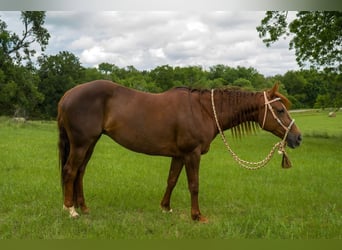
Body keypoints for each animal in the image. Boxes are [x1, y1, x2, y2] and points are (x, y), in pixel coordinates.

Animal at [58, 79, 302, 221]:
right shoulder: (191, 154)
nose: (297, 137)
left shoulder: (178, 155)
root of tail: (67, 95)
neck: (204, 110)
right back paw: (71, 210)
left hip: (90, 143)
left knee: (80, 173)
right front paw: (197, 215)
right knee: (70, 171)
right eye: (280, 110)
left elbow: (172, 180)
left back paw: (84, 208)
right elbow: (194, 185)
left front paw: (166, 208)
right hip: (81, 143)